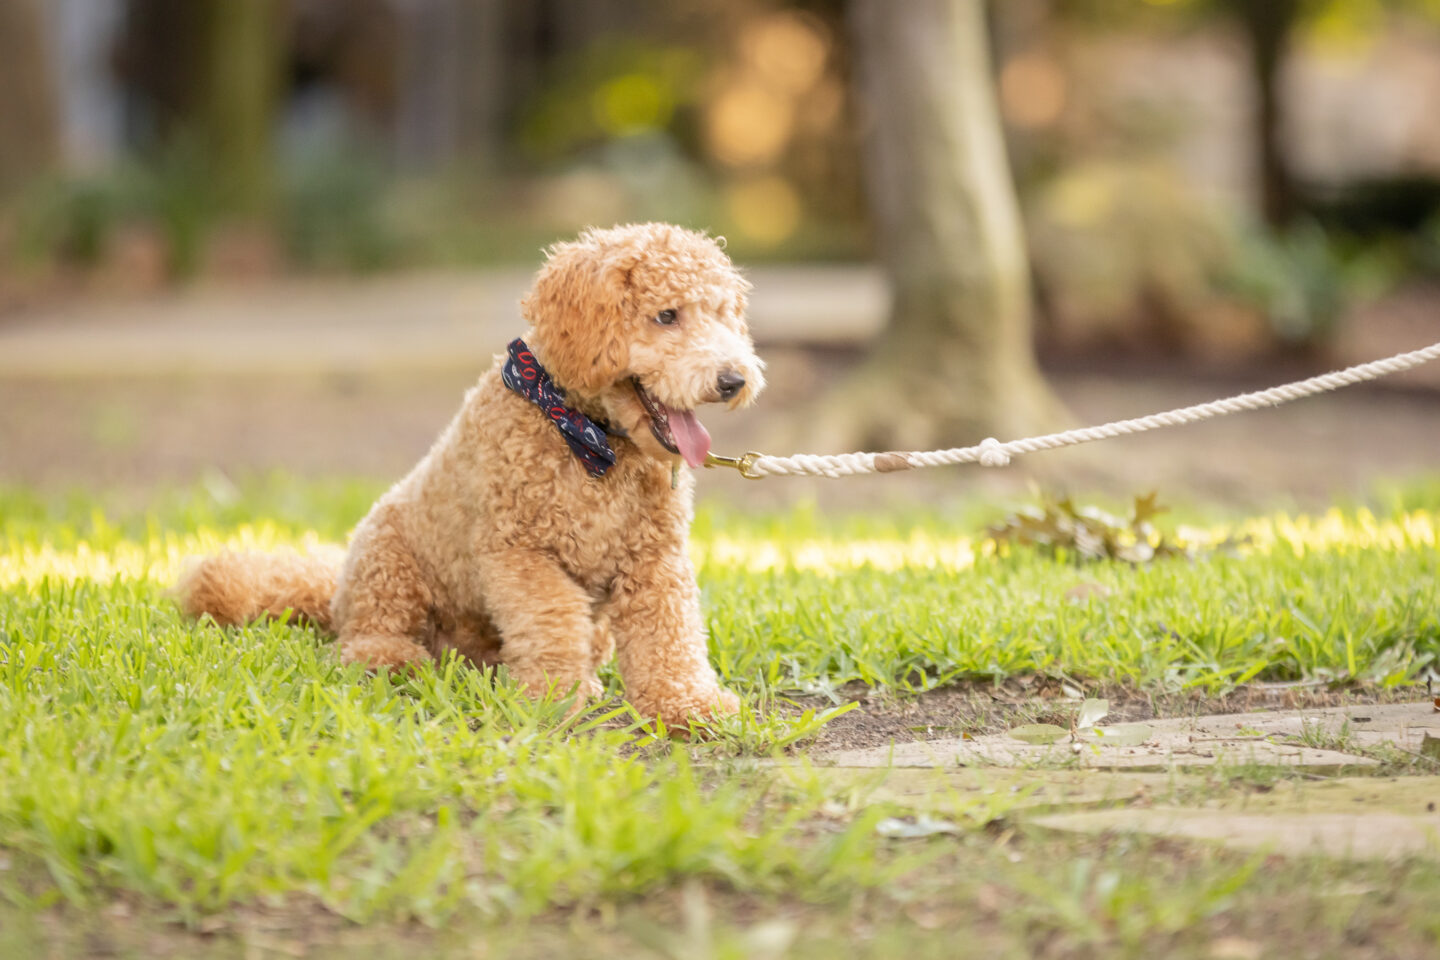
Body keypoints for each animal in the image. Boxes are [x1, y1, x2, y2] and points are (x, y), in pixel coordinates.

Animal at [175, 221, 766, 725]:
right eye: (667, 315)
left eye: (723, 315)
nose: (734, 380)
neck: (589, 439)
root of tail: (336, 590)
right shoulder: (521, 553)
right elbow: (552, 622)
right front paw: (551, 701)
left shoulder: (654, 560)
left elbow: (670, 634)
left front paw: (687, 704)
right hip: (387, 559)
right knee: (364, 636)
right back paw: (395, 659)